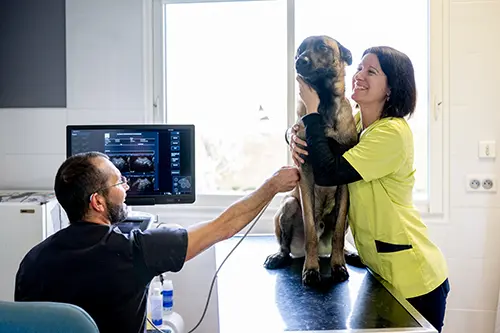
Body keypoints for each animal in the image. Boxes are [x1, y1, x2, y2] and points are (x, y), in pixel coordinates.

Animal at [264, 35, 358, 286]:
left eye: (322, 47)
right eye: (299, 50)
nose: (299, 61)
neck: (323, 106)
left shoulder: (344, 181)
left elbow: (338, 235)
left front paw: (338, 265)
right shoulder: (306, 172)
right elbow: (310, 232)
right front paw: (312, 269)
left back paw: (349, 254)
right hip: (288, 204)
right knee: (286, 246)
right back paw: (279, 256)